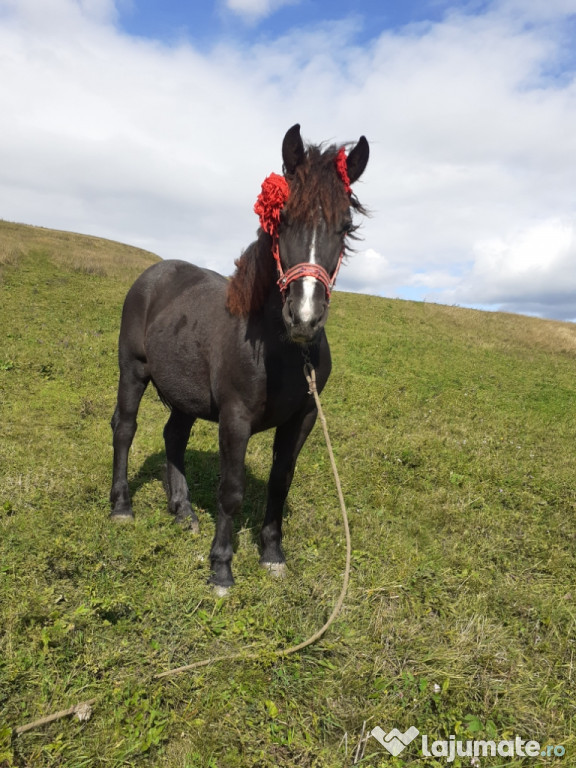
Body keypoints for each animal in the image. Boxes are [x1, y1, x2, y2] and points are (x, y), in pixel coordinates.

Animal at [109, 124, 368, 592]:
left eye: (346, 226)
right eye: (282, 220)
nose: (304, 316)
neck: (281, 350)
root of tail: (154, 274)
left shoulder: (302, 418)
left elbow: (281, 481)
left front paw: (272, 554)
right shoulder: (235, 417)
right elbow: (231, 489)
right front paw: (221, 568)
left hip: (185, 394)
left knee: (173, 436)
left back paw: (183, 512)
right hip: (132, 371)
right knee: (125, 428)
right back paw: (121, 507)